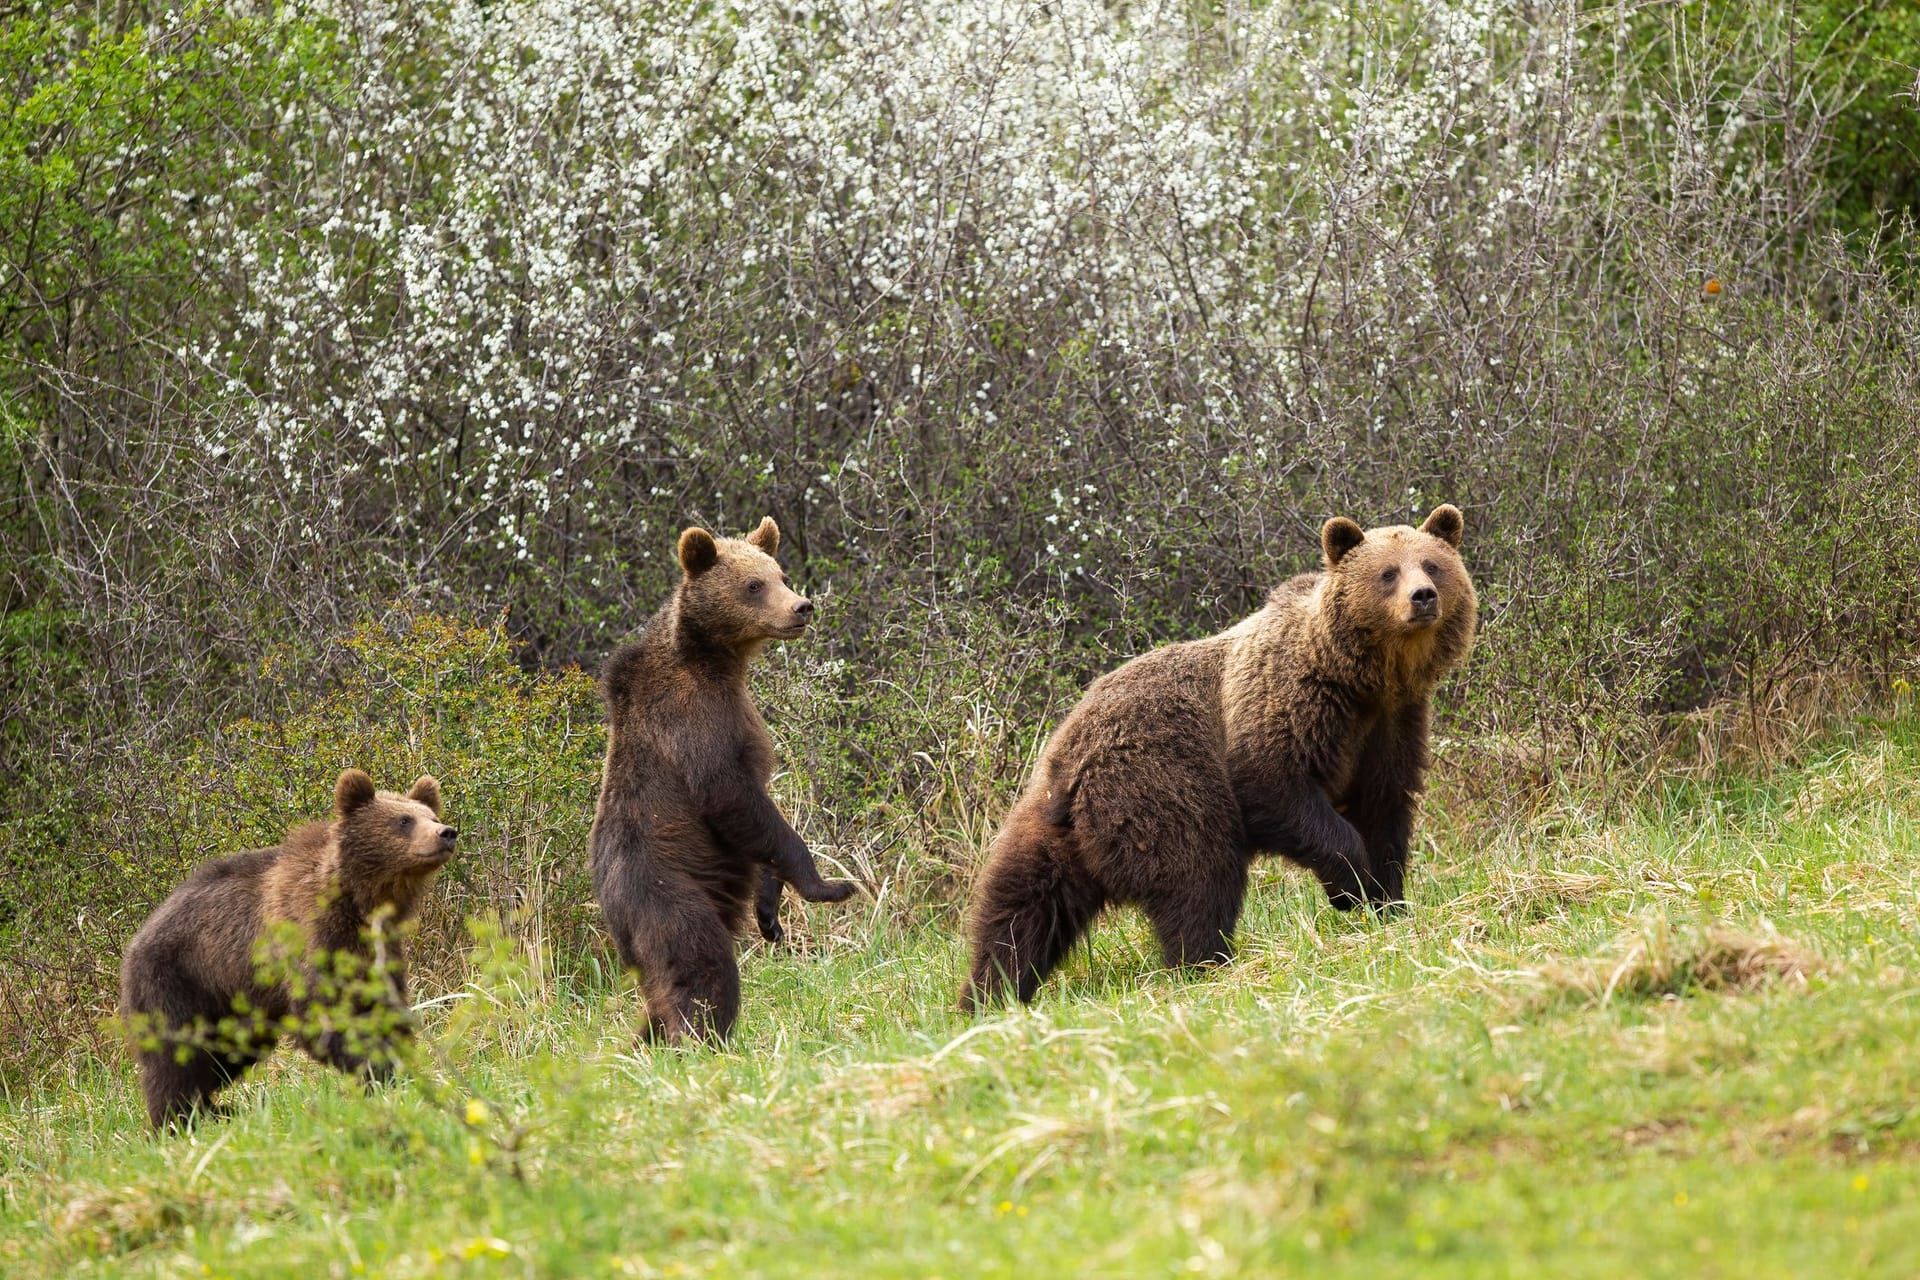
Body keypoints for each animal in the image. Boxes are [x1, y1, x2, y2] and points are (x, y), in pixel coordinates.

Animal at [120, 767, 456, 1128]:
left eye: (433, 816)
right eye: (403, 820)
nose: (446, 833)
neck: (358, 903)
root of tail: (136, 938)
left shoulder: (373, 951)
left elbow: (381, 1006)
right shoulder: (310, 939)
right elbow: (325, 1016)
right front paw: (379, 1070)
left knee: (224, 1052)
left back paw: (213, 1110)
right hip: (176, 980)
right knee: (174, 1055)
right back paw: (177, 1118)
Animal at [583, 514, 856, 1043]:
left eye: (781, 574)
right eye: (753, 585)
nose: (802, 606)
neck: (716, 659)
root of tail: (613, 915)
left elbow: (759, 818)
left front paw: (770, 911)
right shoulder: (692, 720)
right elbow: (733, 796)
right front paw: (829, 884)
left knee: (661, 995)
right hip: (667, 895)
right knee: (701, 967)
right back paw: (701, 1037)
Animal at [960, 502, 1482, 1013]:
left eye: (1432, 564)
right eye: (1387, 573)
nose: (1423, 596)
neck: (1364, 678)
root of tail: (1072, 765)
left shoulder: (1392, 727)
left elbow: (1384, 810)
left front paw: (1388, 903)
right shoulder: (1286, 703)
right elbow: (1274, 786)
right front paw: (1349, 887)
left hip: (1045, 827)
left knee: (1019, 908)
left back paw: (988, 994)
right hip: (1160, 787)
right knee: (1199, 876)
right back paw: (1208, 964)